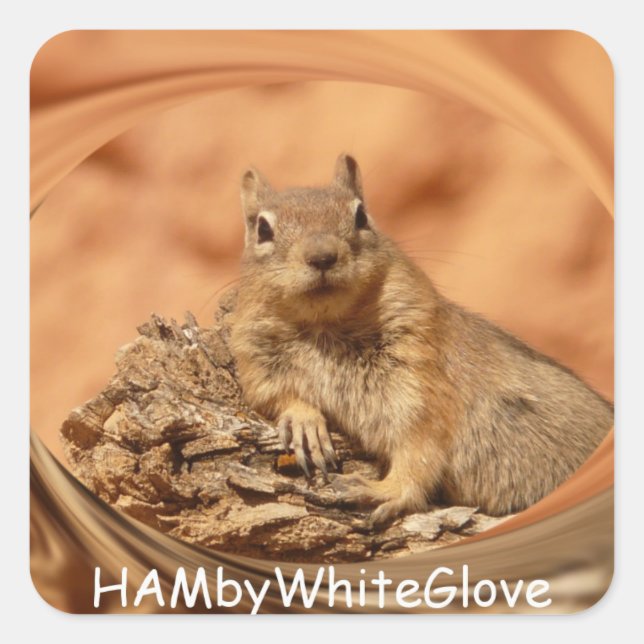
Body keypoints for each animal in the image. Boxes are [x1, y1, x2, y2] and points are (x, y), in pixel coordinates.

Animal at [228, 153, 613, 526]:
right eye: (263, 228)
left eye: (361, 215)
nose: (322, 256)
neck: (326, 327)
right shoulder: (257, 362)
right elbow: (274, 395)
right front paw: (304, 421)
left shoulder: (421, 383)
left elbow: (419, 449)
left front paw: (383, 490)